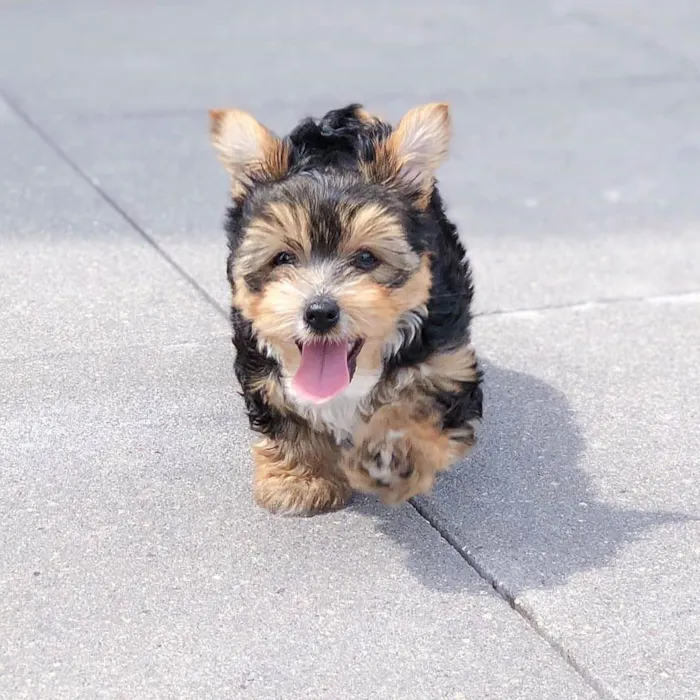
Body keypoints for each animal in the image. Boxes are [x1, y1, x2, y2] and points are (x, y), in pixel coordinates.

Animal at [208, 101, 482, 516]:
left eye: (366, 258)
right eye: (283, 258)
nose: (320, 312)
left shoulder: (445, 361)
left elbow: (422, 402)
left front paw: (392, 451)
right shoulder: (259, 363)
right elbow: (286, 413)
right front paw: (300, 479)